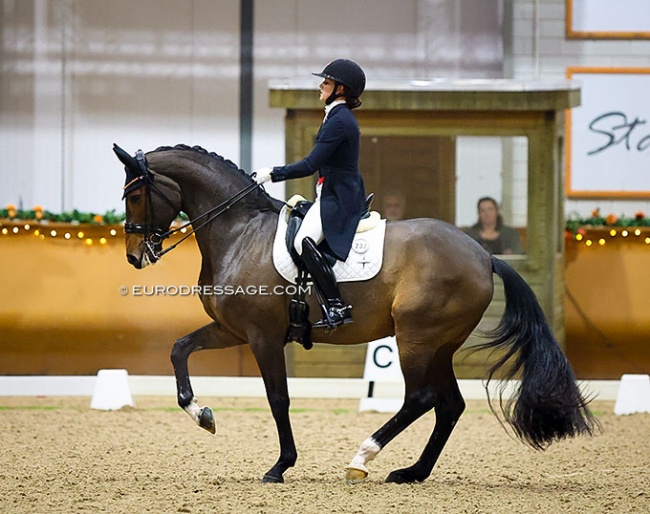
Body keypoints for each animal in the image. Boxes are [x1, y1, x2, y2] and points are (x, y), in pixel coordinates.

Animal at [114, 143, 596, 480]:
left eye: (135, 194)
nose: (135, 257)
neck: (239, 232)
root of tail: (483, 254)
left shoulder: (263, 336)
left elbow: (278, 398)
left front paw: (280, 466)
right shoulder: (232, 329)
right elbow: (179, 349)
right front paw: (203, 416)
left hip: (415, 338)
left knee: (420, 399)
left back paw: (363, 457)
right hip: (440, 344)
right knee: (450, 405)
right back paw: (412, 473)